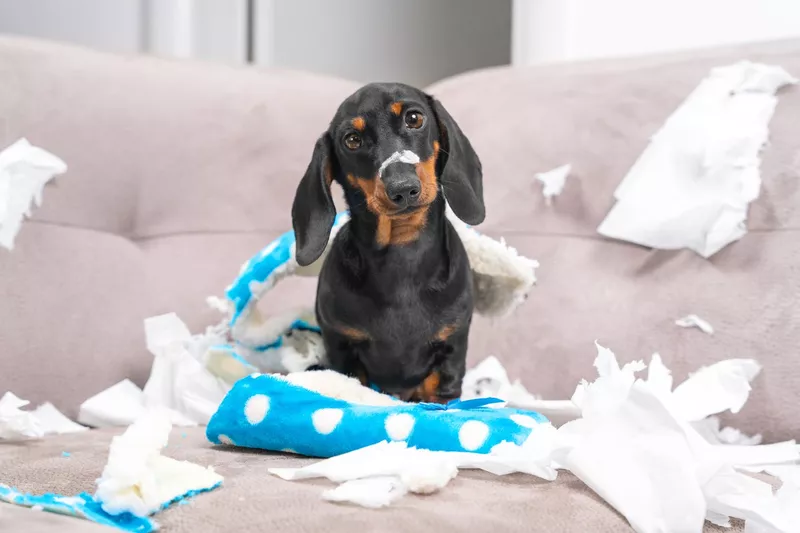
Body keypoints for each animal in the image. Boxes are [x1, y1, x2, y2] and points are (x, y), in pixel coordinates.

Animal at [292, 81, 484, 402]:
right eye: (352, 140)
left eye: (414, 118)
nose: (403, 188)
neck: (401, 255)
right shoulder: (342, 347)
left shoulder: (451, 351)